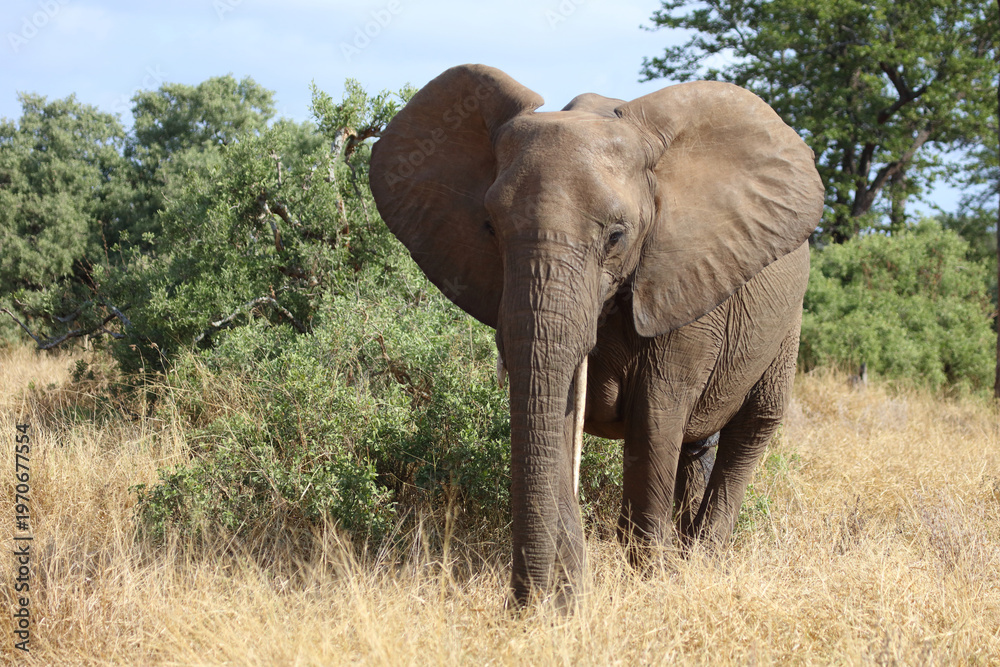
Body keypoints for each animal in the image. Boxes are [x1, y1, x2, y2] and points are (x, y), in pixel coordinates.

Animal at [368, 64, 824, 606]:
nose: (525, 606)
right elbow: (558, 416)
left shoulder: (684, 283)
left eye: (616, 237)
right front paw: (569, 596)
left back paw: (700, 562)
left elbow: (655, 420)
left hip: (787, 320)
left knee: (752, 428)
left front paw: (652, 587)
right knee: (694, 447)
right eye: (490, 229)